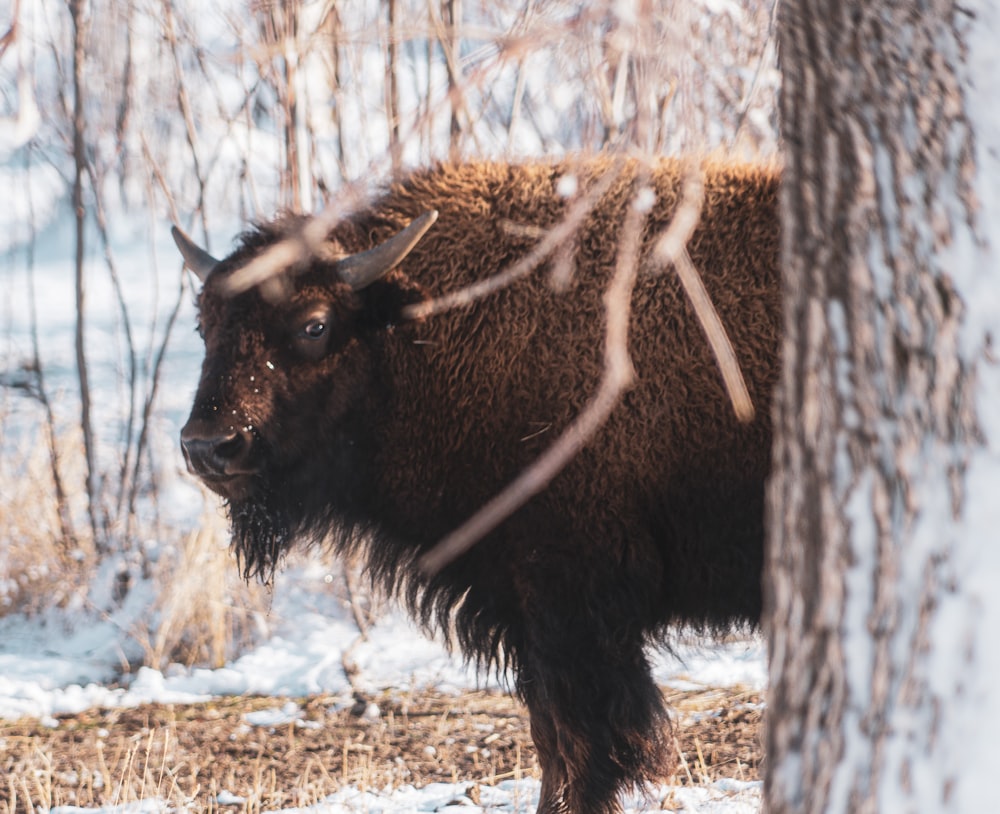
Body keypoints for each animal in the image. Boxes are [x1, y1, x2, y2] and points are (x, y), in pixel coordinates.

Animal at [172, 158, 780, 814]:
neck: (416, 331)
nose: (208, 446)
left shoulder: (572, 601)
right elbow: (550, 736)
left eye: (315, 325)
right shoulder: (521, 604)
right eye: (204, 325)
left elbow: (584, 742)